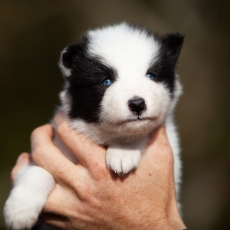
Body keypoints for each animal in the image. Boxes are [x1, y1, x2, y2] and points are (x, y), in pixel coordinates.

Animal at [3, 22, 184, 230]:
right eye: (106, 81)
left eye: (151, 75)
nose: (137, 104)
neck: (104, 137)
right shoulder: (54, 148)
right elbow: (37, 169)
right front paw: (19, 210)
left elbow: (139, 133)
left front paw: (123, 151)